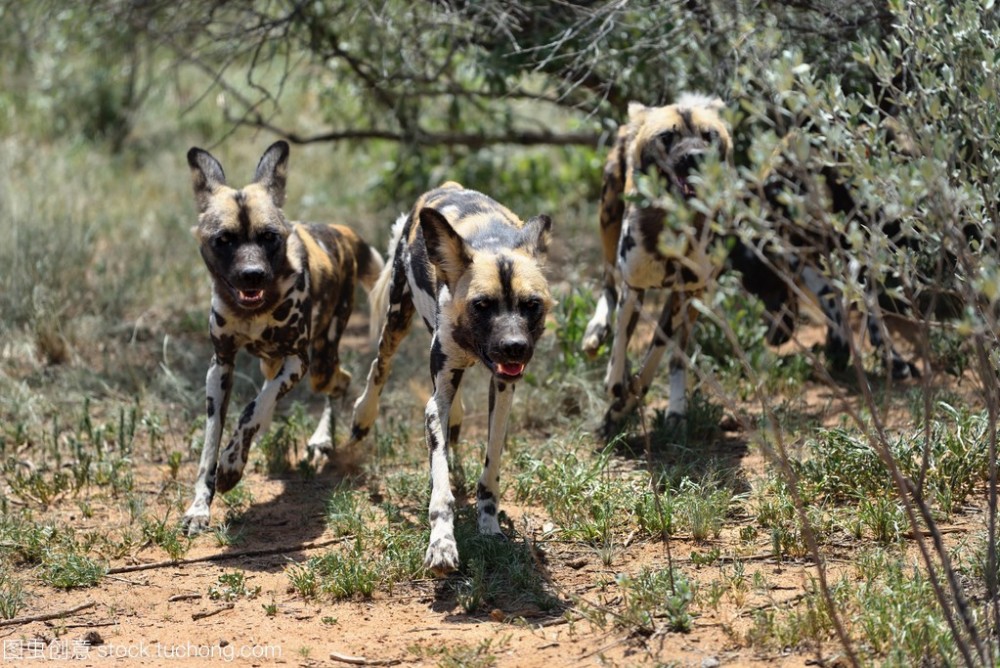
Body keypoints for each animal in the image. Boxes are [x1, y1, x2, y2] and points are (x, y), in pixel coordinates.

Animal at [346, 181, 556, 576]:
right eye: (482, 305)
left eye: (531, 305)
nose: (515, 348)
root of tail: (447, 187)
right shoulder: (436, 399)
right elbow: (441, 490)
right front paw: (442, 543)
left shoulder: (503, 389)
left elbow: (489, 469)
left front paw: (488, 525)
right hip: (396, 321)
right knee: (379, 368)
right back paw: (362, 418)